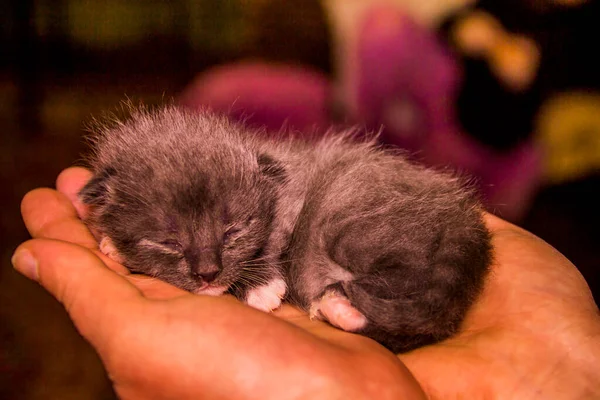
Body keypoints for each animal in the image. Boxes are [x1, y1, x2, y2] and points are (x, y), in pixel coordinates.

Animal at [79, 106, 492, 354]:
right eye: (169, 242)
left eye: (233, 230)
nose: (208, 273)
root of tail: (467, 224)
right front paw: (112, 243)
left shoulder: (290, 205)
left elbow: (272, 243)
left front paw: (261, 287)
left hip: (349, 224)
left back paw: (338, 303)